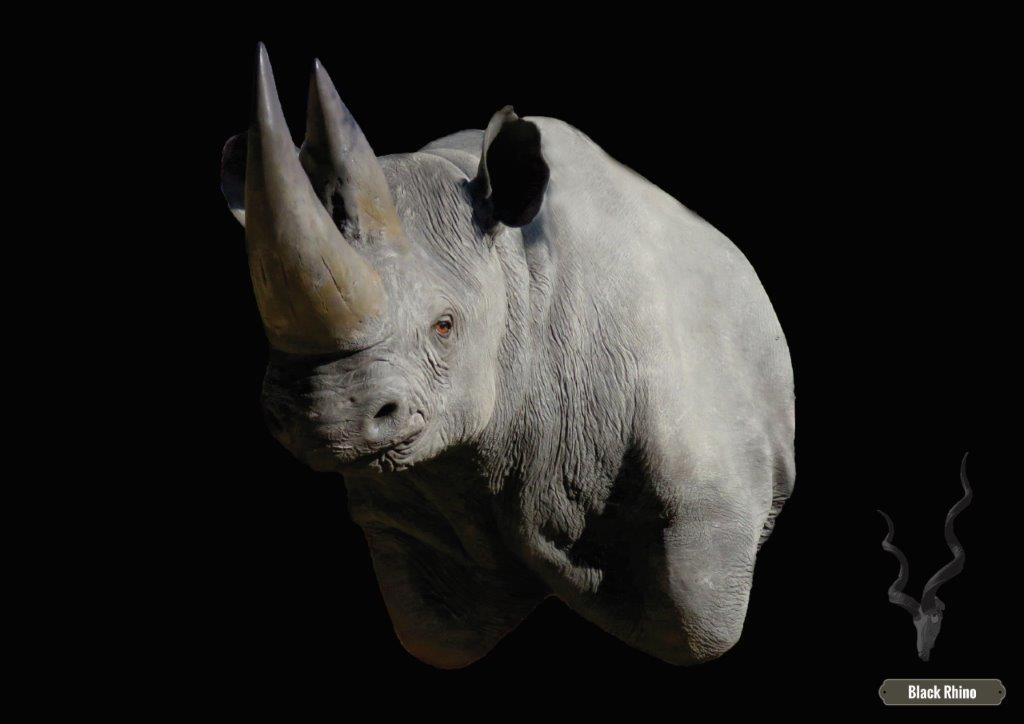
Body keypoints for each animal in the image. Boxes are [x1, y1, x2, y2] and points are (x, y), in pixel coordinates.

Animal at [220, 44, 795, 668]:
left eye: (445, 326)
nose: (324, 418)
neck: (518, 273)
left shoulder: (706, 470)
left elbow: (698, 621)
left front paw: (593, 587)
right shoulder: (398, 505)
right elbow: (436, 633)